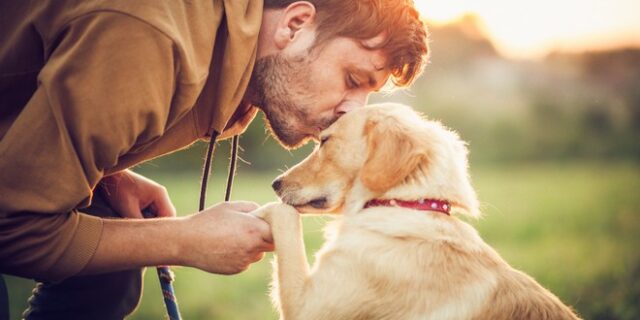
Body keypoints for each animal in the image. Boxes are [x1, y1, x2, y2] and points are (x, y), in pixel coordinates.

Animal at [252, 104, 584, 318]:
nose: (275, 184)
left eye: (325, 141)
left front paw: (261, 211)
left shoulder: (307, 305)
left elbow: (285, 218)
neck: (404, 203)